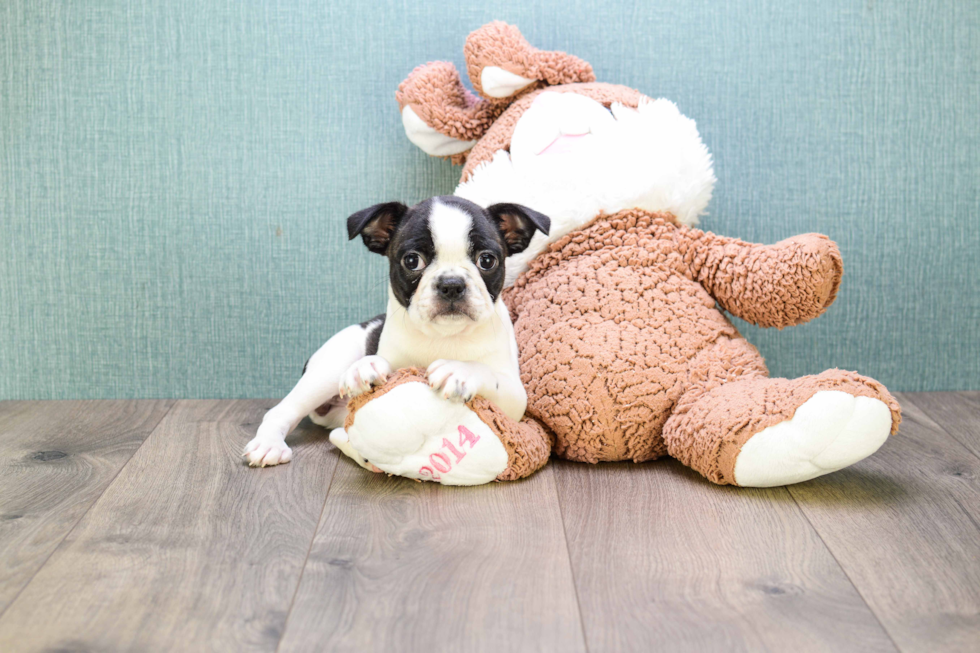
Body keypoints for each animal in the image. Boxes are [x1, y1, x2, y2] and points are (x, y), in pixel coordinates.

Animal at [243, 196, 552, 466]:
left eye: (487, 260)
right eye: (412, 261)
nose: (451, 284)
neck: (444, 336)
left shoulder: (515, 400)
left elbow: (486, 372)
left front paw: (459, 370)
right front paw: (364, 367)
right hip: (327, 370)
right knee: (282, 410)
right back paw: (268, 444)